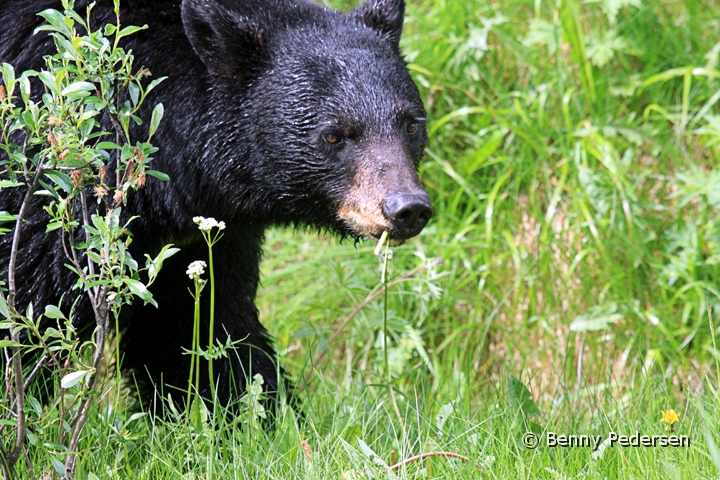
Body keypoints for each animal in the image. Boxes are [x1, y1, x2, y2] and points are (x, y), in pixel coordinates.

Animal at [0, 0, 434, 408]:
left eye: (411, 124)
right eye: (333, 135)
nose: (407, 208)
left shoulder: (206, 236)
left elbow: (202, 326)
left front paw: (255, 415)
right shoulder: (54, 203)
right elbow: (29, 302)